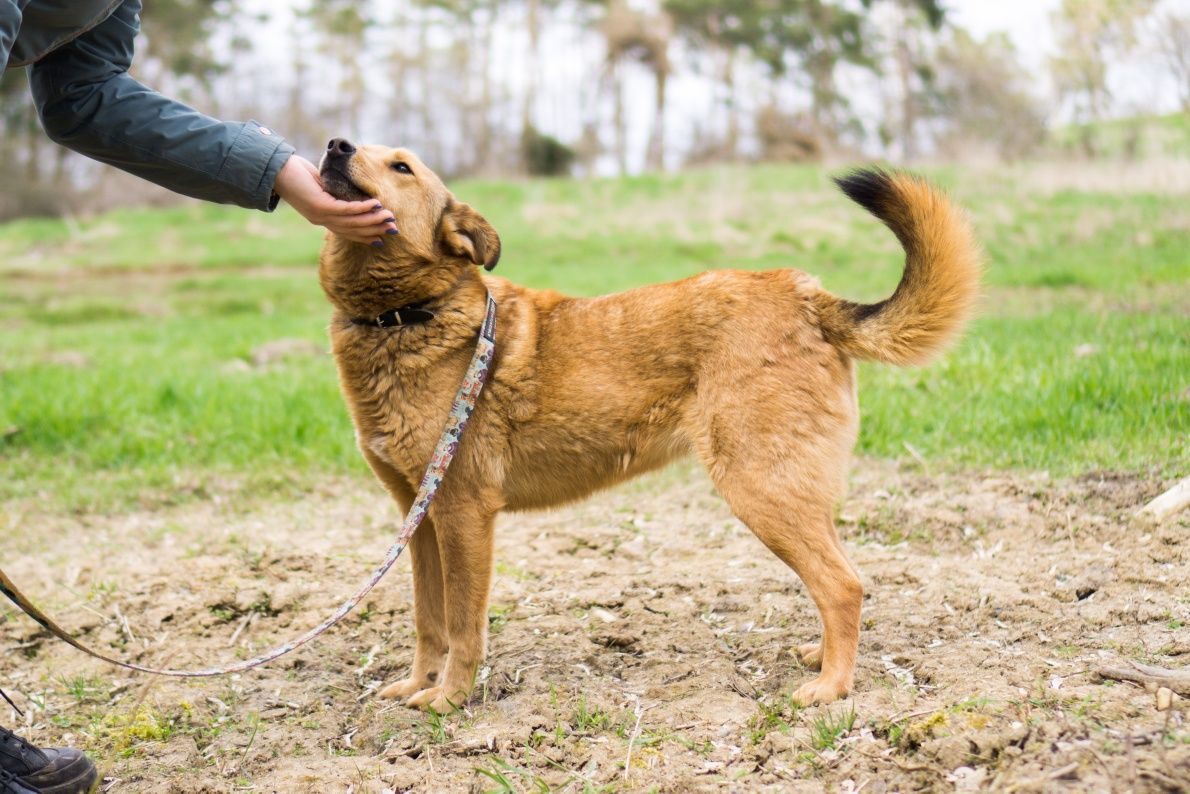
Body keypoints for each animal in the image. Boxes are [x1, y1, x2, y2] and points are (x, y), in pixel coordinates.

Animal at [314, 139, 975, 719]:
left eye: (401, 167)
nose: (335, 145)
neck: (401, 318)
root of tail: (806, 294)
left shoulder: (462, 515)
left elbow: (463, 625)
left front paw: (449, 700)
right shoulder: (419, 520)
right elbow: (429, 621)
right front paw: (417, 685)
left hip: (759, 489)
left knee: (843, 585)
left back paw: (832, 687)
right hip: (791, 489)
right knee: (841, 576)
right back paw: (821, 658)